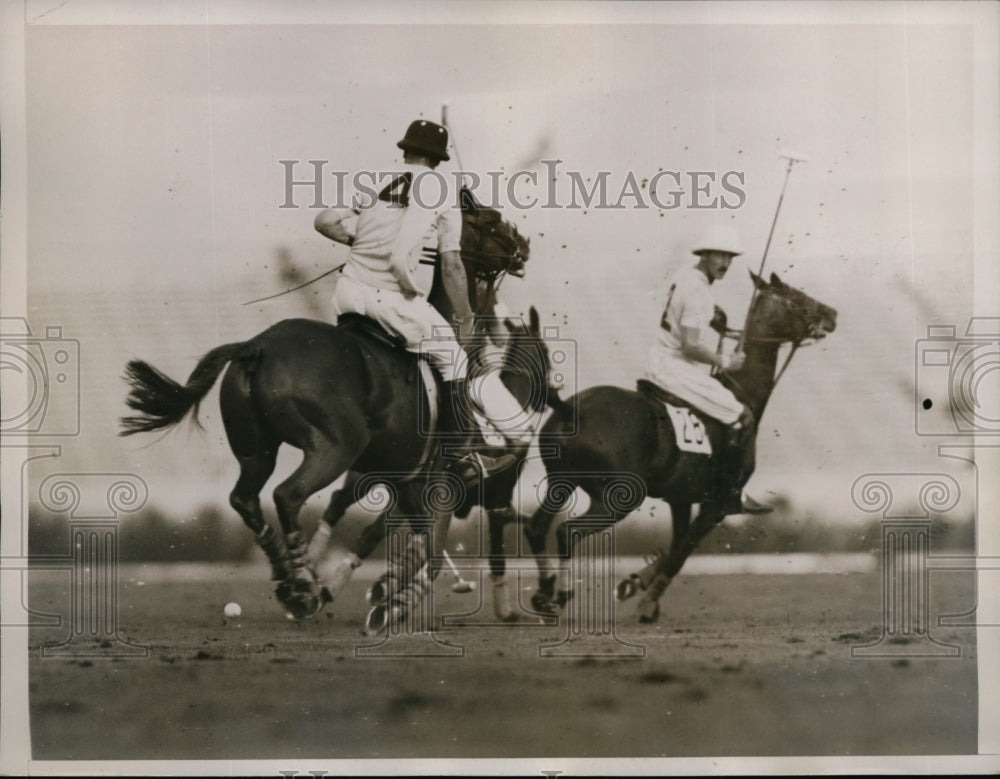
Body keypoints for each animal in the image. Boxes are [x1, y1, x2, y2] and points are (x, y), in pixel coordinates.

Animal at [528, 272, 840, 624]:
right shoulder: (715, 506)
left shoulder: (680, 496)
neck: (741, 393)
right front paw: (645, 602)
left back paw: (543, 595)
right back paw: (560, 595)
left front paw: (637, 582)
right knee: (568, 531)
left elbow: (675, 544)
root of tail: (571, 410)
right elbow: (682, 552)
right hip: (618, 498)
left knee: (536, 528)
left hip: (560, 481)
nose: (832, 314)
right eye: (797, 298)